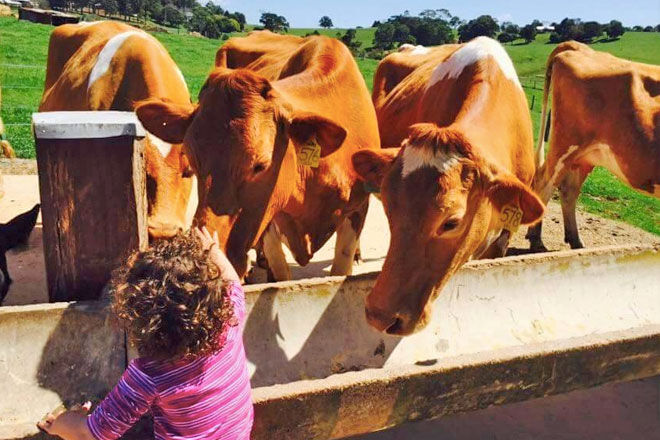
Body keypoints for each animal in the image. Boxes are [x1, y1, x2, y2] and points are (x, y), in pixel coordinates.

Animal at [524, 41, 660, 251]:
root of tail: (581, 48)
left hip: (586, 155)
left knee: (568, 190)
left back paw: (575, 242)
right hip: (566, 144)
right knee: (544, 183)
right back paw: (537, 240)